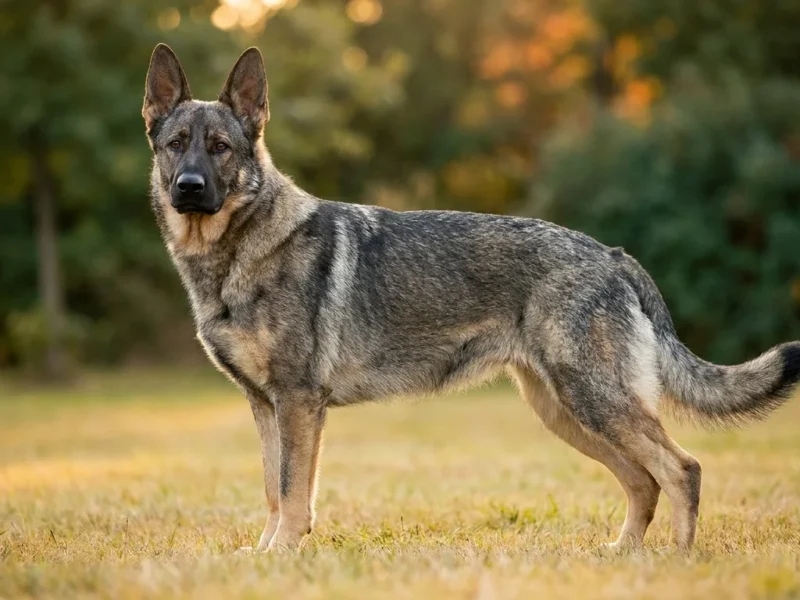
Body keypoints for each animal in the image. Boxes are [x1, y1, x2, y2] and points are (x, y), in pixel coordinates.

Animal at [142, 44, 800, 554]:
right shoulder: (265, 406)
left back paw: (678, 561)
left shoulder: (298, 403)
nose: (189, 188)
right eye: (176, 144)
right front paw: (262, 556)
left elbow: (292, 493)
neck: (238, 252)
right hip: (567, 413)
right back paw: (623, 554)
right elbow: (273, 492)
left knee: (681, 470)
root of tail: (612, 255)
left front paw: (281, 556)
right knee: (645, 482)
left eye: (221, 147)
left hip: (595, 403)